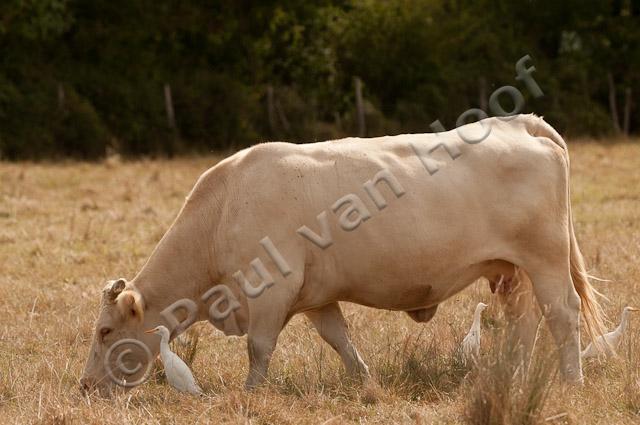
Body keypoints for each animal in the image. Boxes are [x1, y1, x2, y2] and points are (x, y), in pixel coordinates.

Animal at [80, 112, 604, 394]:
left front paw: (250, 393)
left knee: (562, 314)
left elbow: (259, 348)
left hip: (545, 258)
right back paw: (513, 376)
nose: (86, 386)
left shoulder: (271, 292)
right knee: (523, 321)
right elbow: (341, 341)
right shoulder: (316, 298)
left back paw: (572, 381)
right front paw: (367, 383)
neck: (223, 209)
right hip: (511, 270)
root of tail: (516, 123)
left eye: (105, 331)